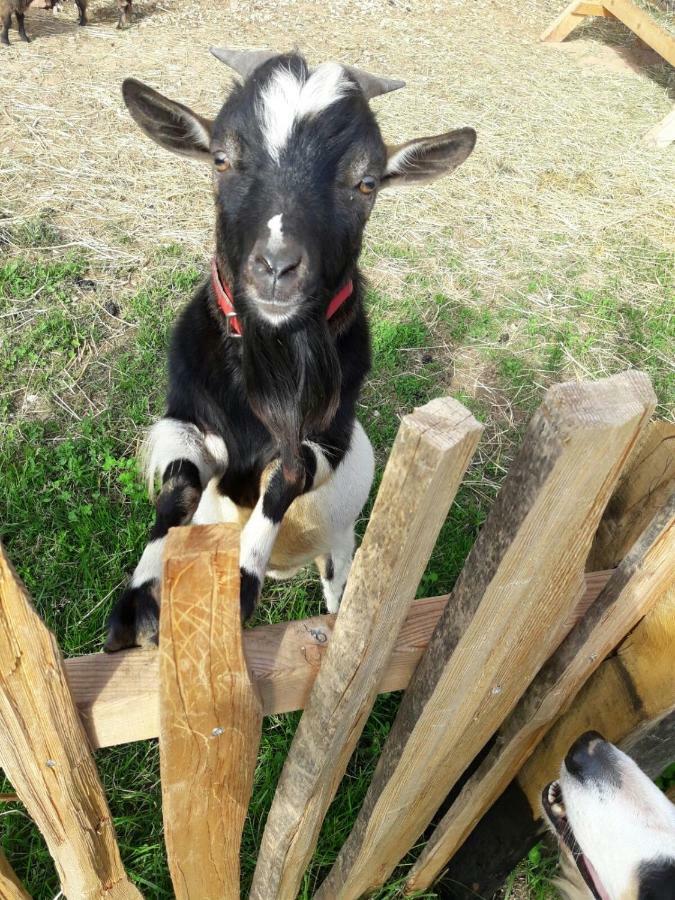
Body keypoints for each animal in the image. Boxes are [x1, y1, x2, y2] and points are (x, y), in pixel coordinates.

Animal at [104, 49, 476, 652]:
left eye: (367, 183)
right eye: (220, 159)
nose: (277, 267)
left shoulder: (326, 437)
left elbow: (287, 473)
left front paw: (242, 582)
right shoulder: (188, 420)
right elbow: (179, 486)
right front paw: (139, 600)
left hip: (341, 551)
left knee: (337, 594)